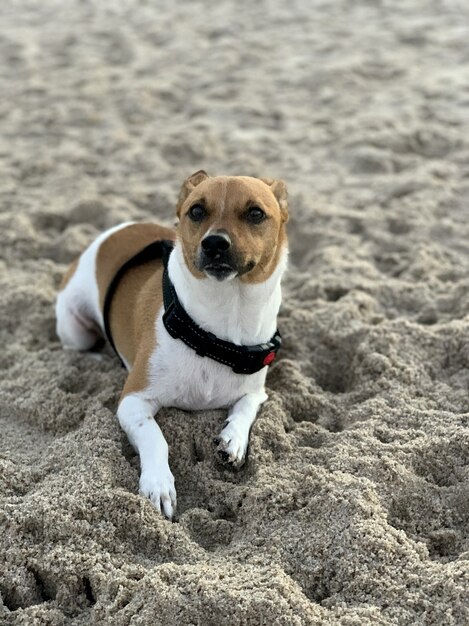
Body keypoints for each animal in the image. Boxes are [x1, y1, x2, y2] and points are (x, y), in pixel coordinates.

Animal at [56, 171, 288, 516]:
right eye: (196, 211)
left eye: (256, 213)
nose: (214, 243)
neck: (217, 330)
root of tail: (114, 231)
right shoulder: (133, 402)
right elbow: (156, 438)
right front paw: (159, 483)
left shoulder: (257, 393)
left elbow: (245, 408)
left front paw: (233, 438)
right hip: (75, 328)